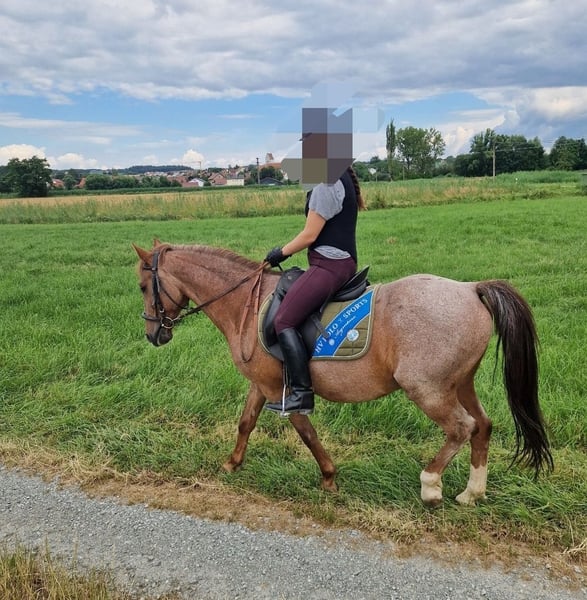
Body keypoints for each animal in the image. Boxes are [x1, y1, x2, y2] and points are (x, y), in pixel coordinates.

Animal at [133, 240, 553, 506]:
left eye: (142, 286)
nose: (153, 334)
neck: (246, 305)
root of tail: (470, 289)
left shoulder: (280, 390)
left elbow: (306, 432)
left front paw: (329, 477)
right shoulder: (263, 384)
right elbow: (246, 423)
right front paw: (232, 464)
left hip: (428, 389)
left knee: (462, 428)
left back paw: (431, 486)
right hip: (460, 382)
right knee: (483, 426)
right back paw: (471, 493)